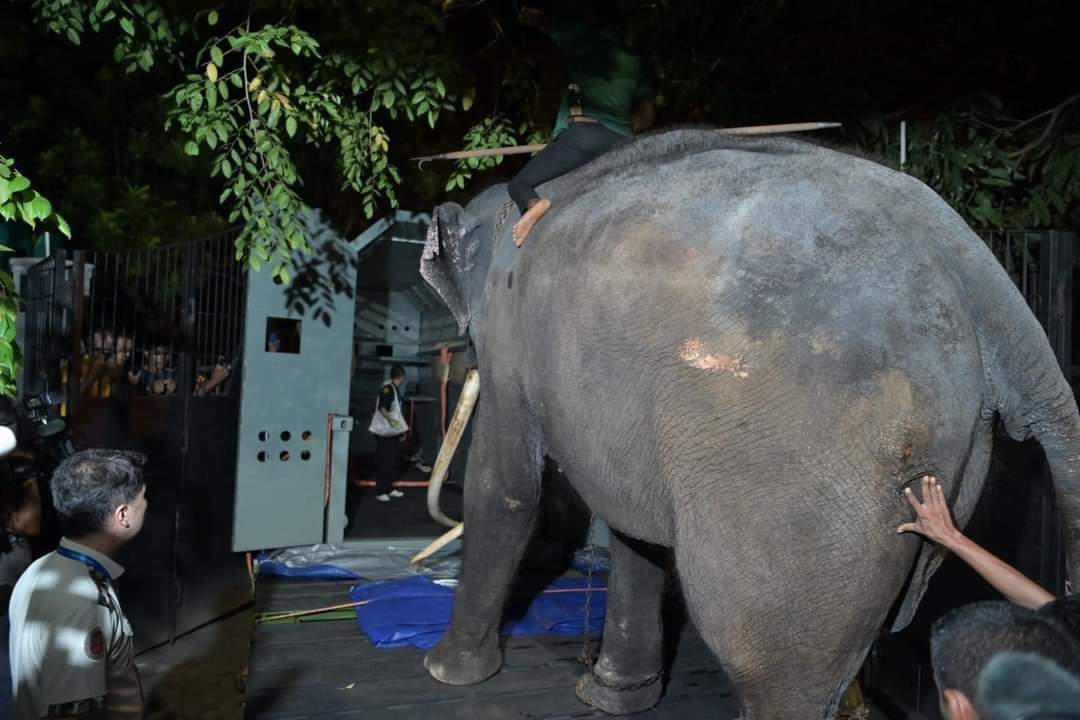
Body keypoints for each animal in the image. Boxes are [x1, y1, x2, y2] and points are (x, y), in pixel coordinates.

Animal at [417, 129, 1080, 719]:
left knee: (771, 664)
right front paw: (613, 699)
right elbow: (633, 524)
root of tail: (985, 283)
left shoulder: (509, 336)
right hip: (943, 470)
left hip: (797, 481)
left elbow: (505, 490)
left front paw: (446, 673)